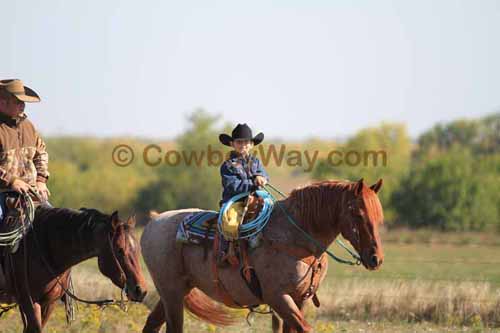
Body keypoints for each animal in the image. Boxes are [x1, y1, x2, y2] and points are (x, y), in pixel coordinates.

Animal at [143, 179, 384, 332]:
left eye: (379, 216)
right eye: (358, 214)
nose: (376, 259)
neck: (293, 236)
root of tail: (154, 220)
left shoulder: (300, 299)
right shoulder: (277, 297)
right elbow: (305, 328)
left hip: (176, 291)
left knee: (152, 324)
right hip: (172, 293)